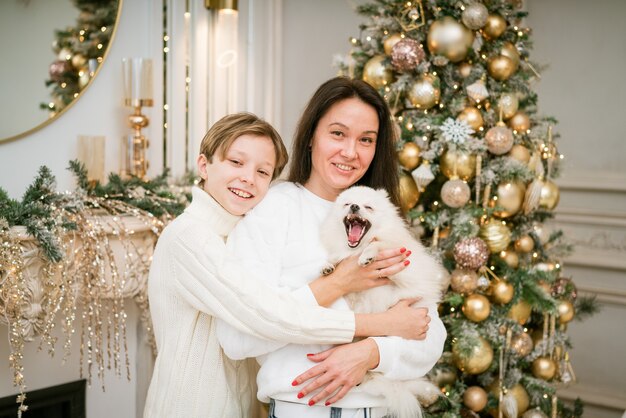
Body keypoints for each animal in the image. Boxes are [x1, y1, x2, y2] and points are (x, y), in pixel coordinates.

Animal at [320, 188, 446, 418]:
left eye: (368, 207)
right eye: (347, 204)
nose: (355, 207)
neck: (354, 249)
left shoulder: (404, 267)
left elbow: (378, 244)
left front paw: (368, 256)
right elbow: (336, 260)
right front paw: (327, 265)